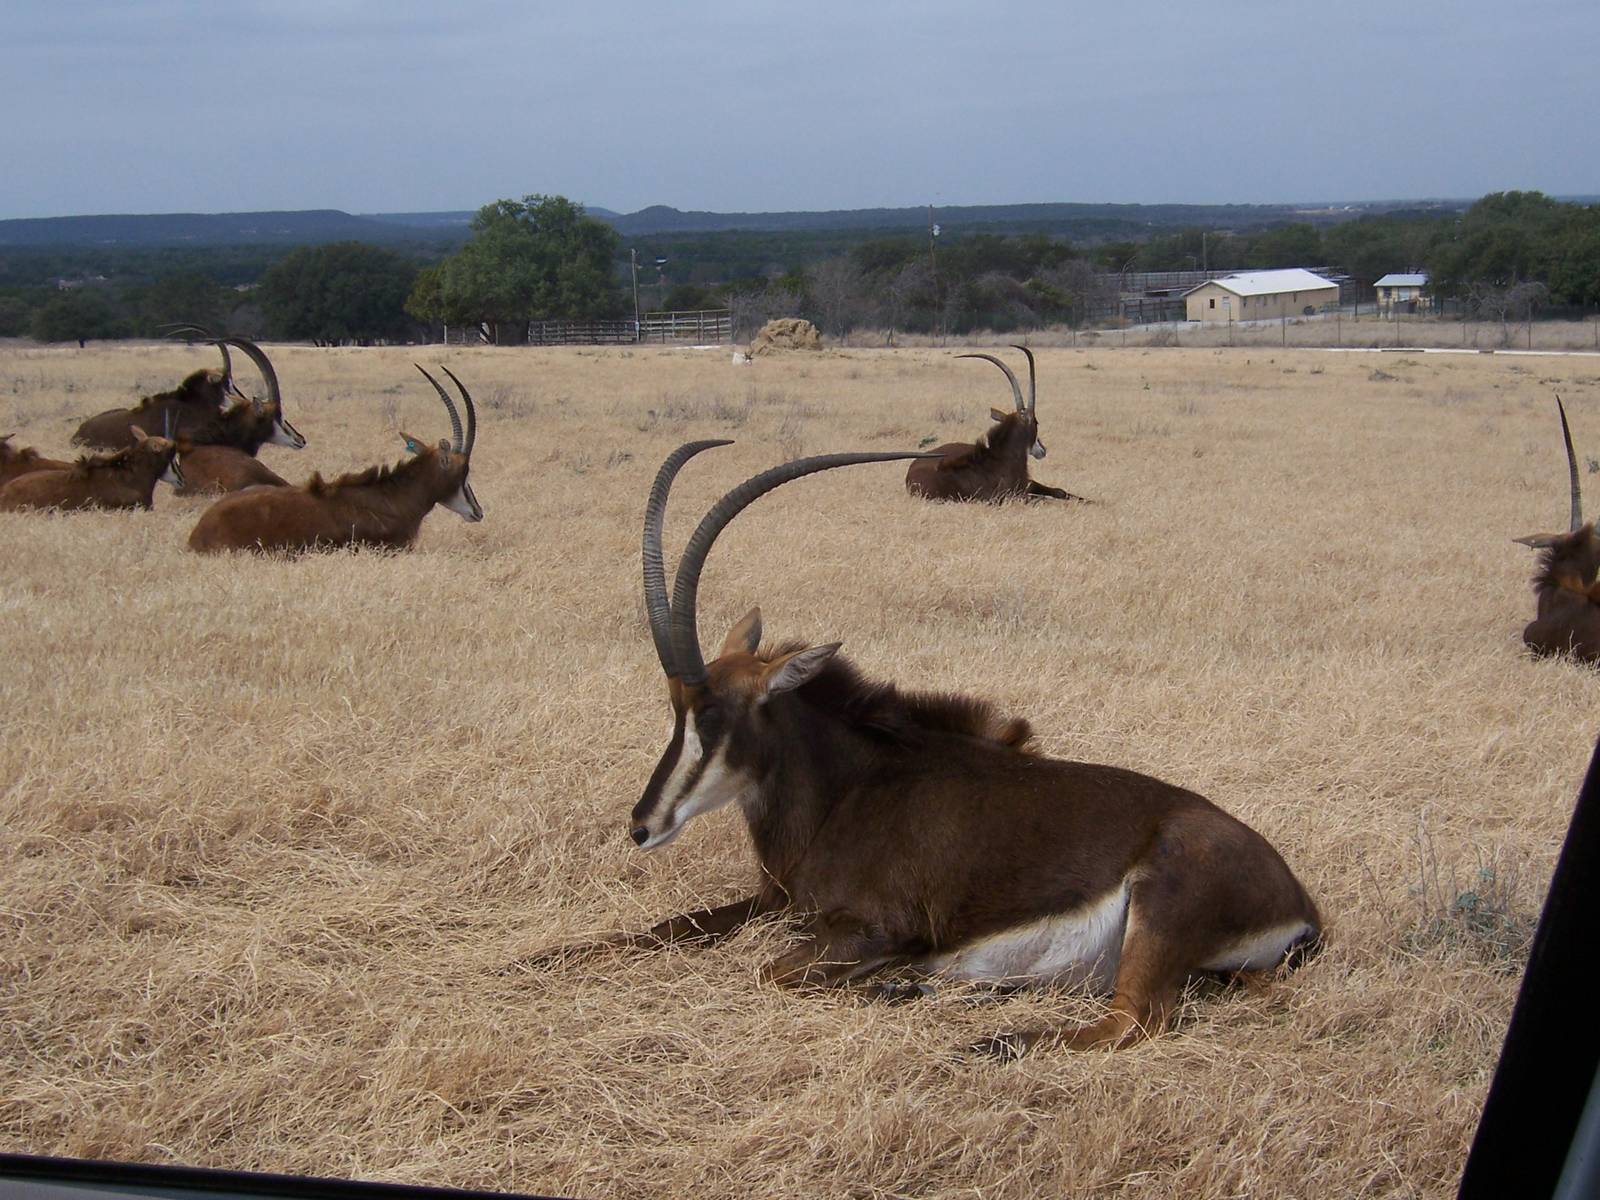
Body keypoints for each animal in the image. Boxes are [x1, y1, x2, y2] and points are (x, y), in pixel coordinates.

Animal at [539, 443, 1321, 1058]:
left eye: (717, 713)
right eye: (673, 708)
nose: (642, 826)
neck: (847, 793)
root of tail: (1301, 902)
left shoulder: (871, 926)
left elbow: (772, 972)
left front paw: (895, 982)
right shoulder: (774, 900)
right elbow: (667, 927)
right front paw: (547, 957)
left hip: (1159, 913)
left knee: (1135, 1021)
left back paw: (982, 1032)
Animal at [906, 346, 1087, 503]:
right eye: (1036, 422)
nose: (1042, 450)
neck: (1000, 459)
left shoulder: (1027, 485)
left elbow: (1059, 491)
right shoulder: (1016, 496)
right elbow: (1045, 499)